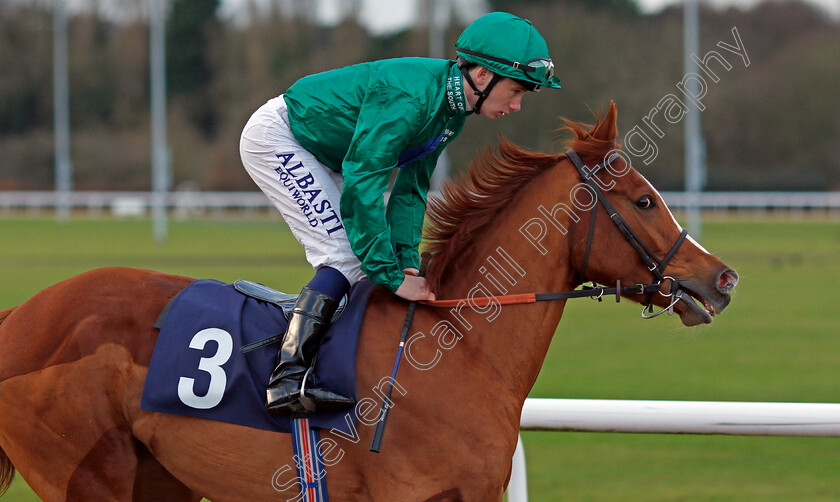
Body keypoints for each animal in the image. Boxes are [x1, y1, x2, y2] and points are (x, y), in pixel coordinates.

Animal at [0, 103, 736, 502]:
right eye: (644, 200)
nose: (722, 278)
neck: (459, 351)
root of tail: (20, 316)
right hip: (88, 474)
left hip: (160, 477)